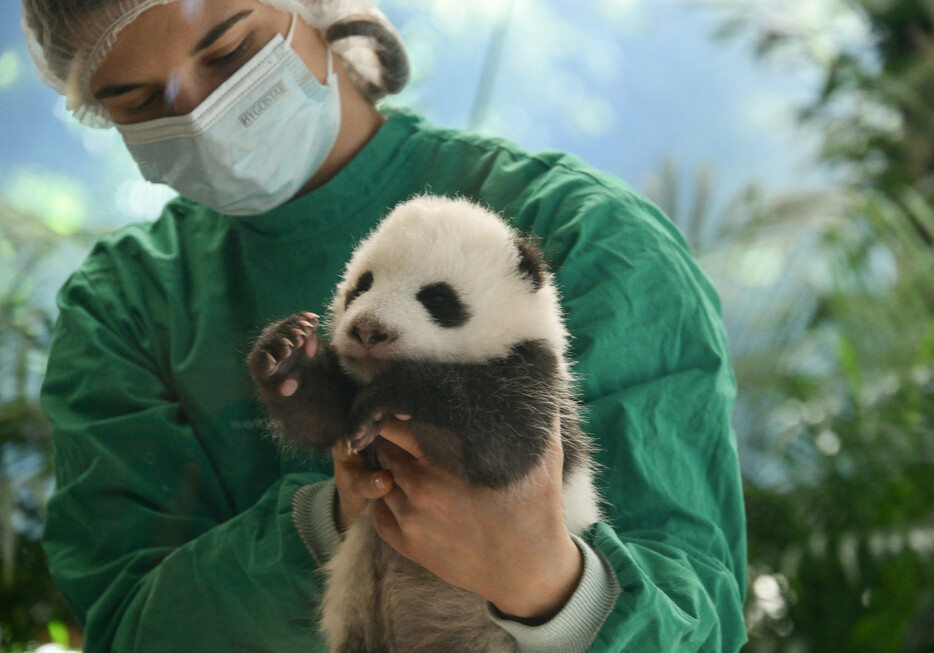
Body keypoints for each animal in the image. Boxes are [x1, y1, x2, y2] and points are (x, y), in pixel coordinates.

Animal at [249, 195, 600, 652]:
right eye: (363, 284)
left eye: (438, 299)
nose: (368, 331)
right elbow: (321, 417)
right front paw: (288, 353)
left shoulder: (536, 380)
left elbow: (499, 448)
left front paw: (392, 393)